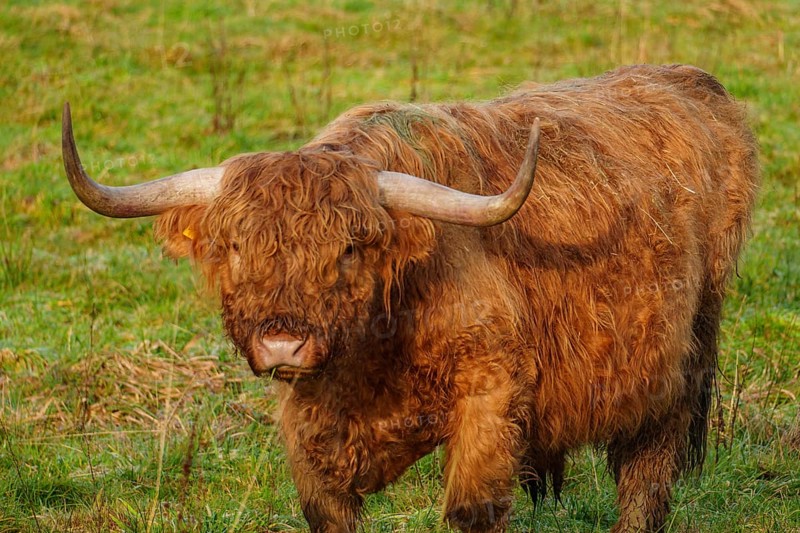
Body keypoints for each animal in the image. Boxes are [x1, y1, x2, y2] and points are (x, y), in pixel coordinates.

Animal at [61, 64, 759, 532]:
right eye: (235, 247)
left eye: (350, 249)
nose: (283, 341)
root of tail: (690, 83)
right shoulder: (308, 429)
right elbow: (327, 510)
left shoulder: (491, 398)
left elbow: (473, 509)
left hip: (680, 360)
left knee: (646, 475)